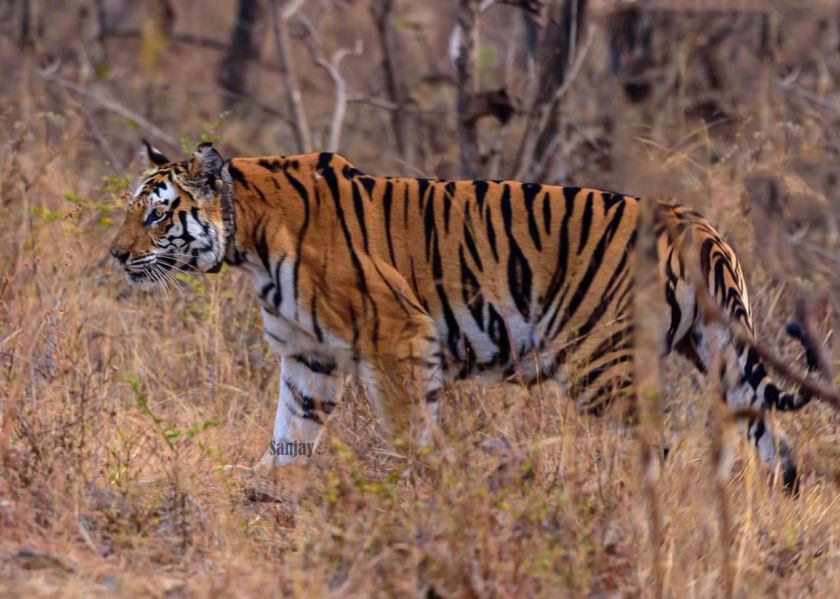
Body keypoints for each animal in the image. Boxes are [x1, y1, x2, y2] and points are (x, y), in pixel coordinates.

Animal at [109, 141, 818, 490]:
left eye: (156, 213)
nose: (115, 256)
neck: (249, 240)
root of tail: (697, 225)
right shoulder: (309, 355)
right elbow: (293, 429)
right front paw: (266, 485)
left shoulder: (395, 335)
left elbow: (408, 428)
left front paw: (416, 489)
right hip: (723, 359)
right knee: (778, 452)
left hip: (602, 363)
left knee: (655, 447)